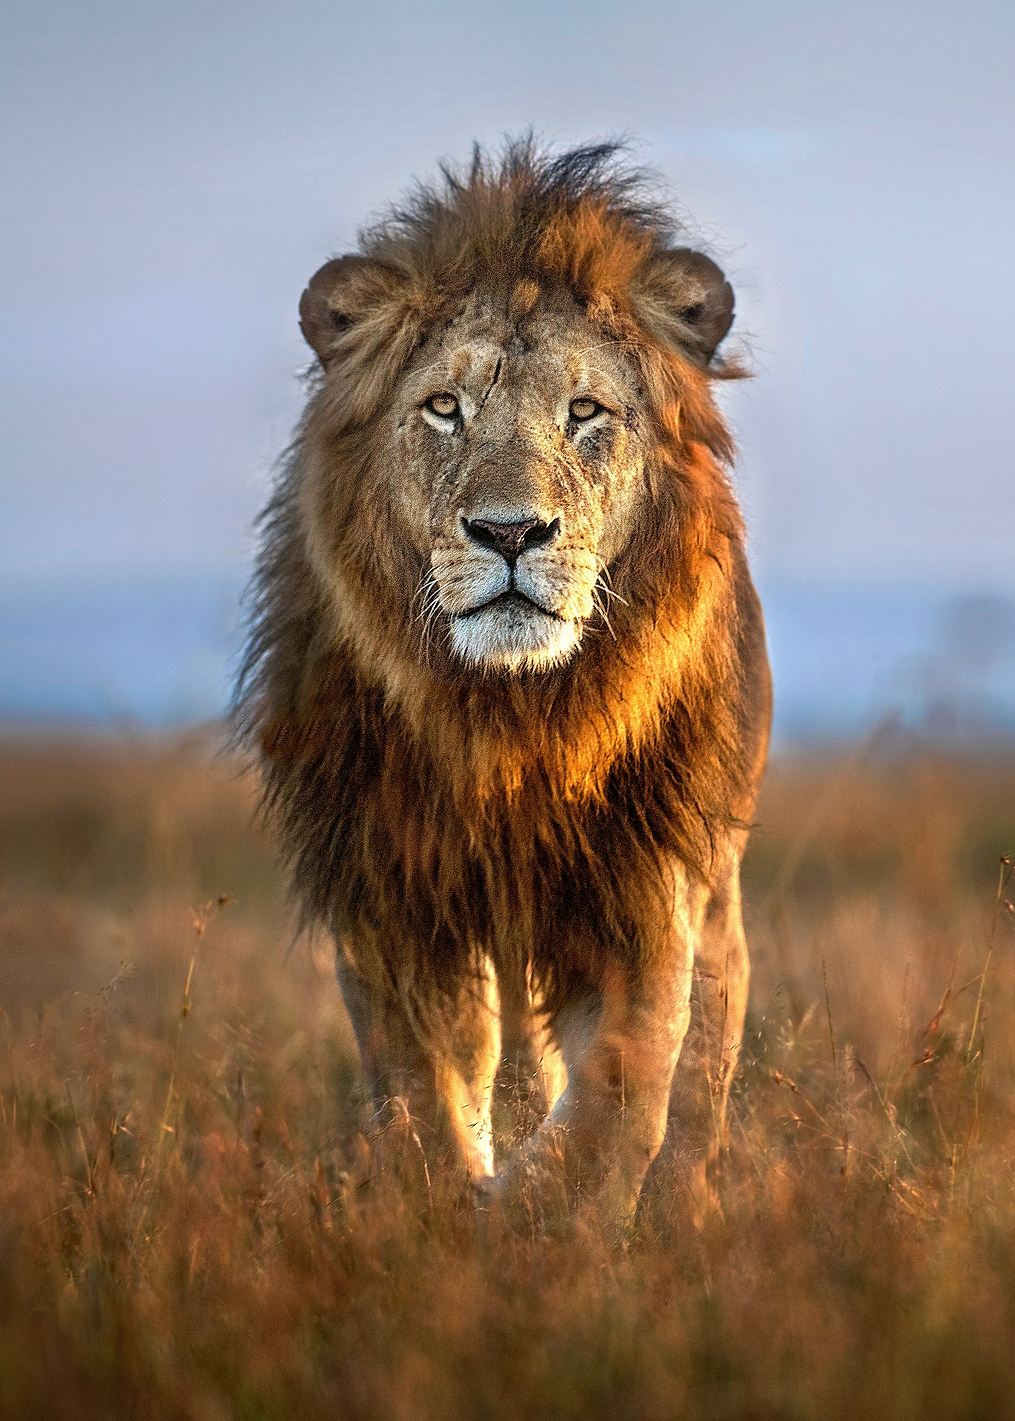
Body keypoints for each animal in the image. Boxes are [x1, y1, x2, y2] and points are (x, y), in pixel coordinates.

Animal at [235, 138, 771, 1228]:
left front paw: (545, 1214)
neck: (512, 718)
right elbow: (425, 1081)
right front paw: (447, 1206)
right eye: (445, 407)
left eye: (585, 411)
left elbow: (623, 1083)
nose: (511, 531)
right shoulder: (392, 889)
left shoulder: (645, 884)